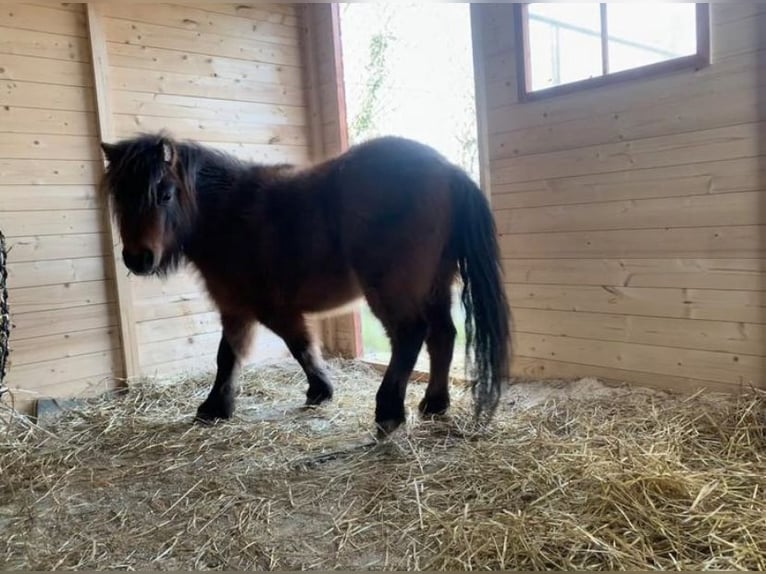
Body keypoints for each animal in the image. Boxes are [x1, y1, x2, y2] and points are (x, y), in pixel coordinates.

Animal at [99, 132, 512, 436]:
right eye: (119, 197)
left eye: (164, 194)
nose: (138, 258)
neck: (229, 214)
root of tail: (447, 169)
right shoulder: (238, 308)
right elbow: (233, 356)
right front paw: (220, 406)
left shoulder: (263, 309)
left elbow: (290, 347)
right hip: (434, 285)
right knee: (442, 335)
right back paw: (434, 403)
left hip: (393, 290)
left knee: (410, 335)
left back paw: (389, 411)